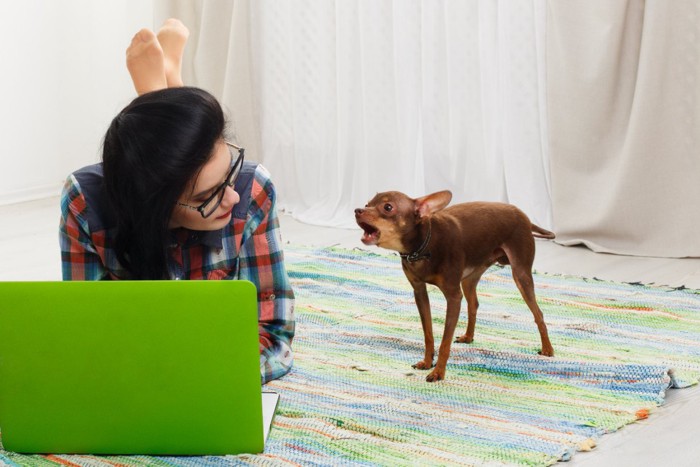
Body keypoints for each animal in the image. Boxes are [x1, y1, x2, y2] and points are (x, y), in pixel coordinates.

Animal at [358, 191, 556, 384]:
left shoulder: (453, 297)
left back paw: (547, 348)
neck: (423, 247)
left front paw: (438, 372)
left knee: (538, 313)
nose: (357, 210)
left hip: (520, 275)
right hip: (469, 279)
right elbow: (428, 333)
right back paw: (468, 336)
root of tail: (525, 217)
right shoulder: (420, 292)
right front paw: (428, 362)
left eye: (387, 207)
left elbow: (445, 342)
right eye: (367, 204)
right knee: (474, 304)